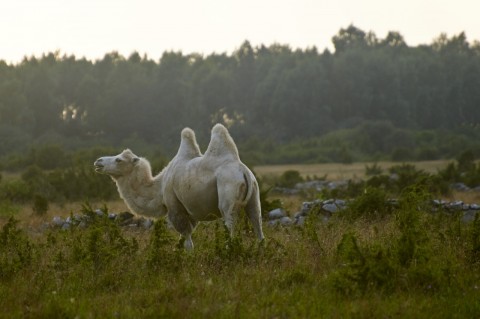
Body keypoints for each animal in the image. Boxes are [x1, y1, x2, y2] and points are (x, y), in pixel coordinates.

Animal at [93, 124, 266, 251]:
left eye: (119, 160)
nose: (98, 161)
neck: (159, 187)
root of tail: (243, 171)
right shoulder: (190, 211)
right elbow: (181, 242)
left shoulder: (175, 207)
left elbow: (188, 243)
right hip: (254, 197)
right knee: (258, 225)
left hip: (228, 194)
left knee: (230, 226)